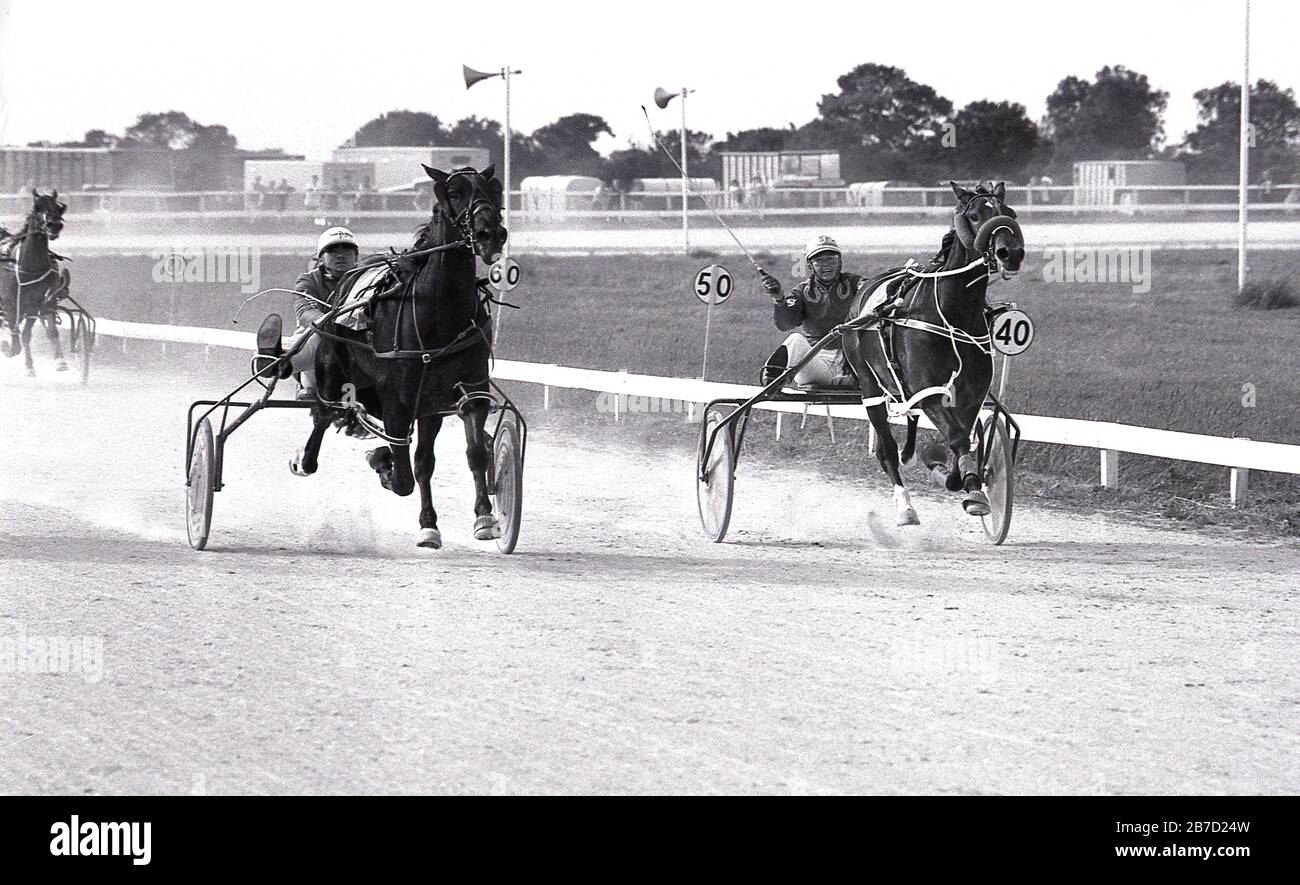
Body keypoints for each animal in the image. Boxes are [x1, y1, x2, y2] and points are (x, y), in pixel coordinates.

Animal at [0, 189, 71, 371]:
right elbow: (15, 341)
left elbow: (25, 335)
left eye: (57, 206)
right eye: (37, 206)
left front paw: (30, 367)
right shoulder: (11, 305)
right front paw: (6, 347)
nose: (54, 225)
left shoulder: (35, 303)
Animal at [289, 163, 506, 545]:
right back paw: (308, 459)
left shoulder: (468, 390)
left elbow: (468, 454)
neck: (440, 312)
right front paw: (386, 467)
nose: (489, 233)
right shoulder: (399, 398)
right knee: (323, 415)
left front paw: (482, 518)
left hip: (425, 403)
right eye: (454, 193)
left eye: (494, 190)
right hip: (332, 373)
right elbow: (405, 474)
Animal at [842, 180, 1024, 525]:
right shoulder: (929, 391)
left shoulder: (970, 394)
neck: (953, 315)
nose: (1011, 252)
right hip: (869, 384)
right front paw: (972, 491)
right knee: (887, 449)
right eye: (975, 215)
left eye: (1010, 212)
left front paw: (955, 477)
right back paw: (905, 507)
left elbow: (964, 438)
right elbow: (957, 437)